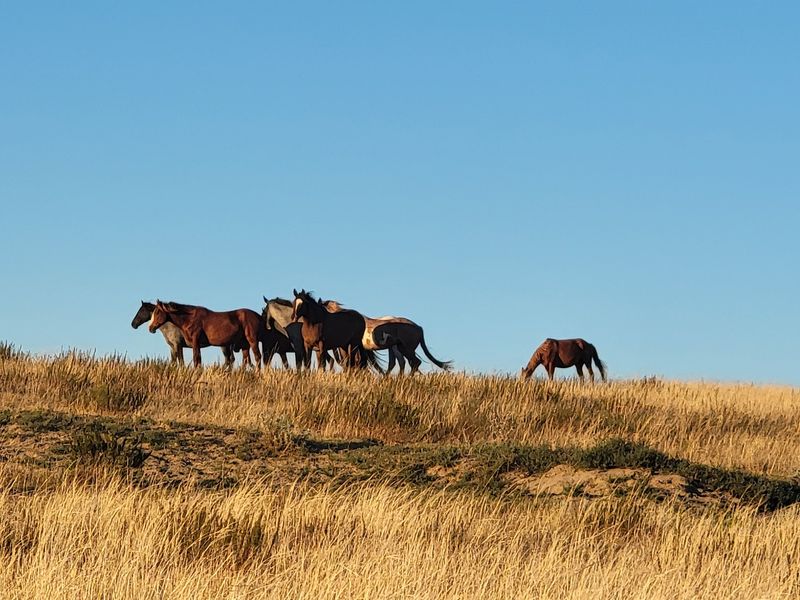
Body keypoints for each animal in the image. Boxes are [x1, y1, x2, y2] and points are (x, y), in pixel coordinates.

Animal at [322, 300, 451, 374]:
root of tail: (419, 328)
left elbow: (353, 362)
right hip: (397, 348)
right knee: (400, 363)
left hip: (405, 349)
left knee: (413, 362)